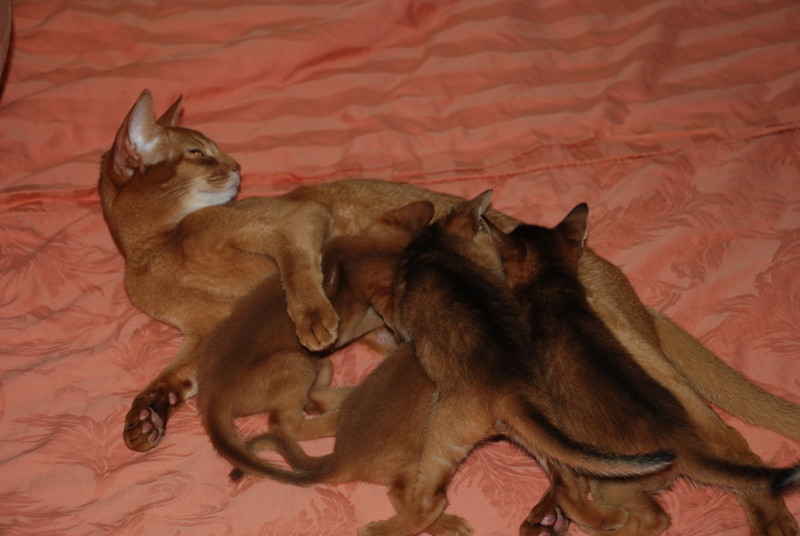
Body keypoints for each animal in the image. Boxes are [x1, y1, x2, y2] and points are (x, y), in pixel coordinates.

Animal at [197, 200, 435, 475]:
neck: (346, 260)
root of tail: (211, 399)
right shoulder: (349, 326)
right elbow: (376, 317)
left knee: (318, 381)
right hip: (295, 364)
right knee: (286, 425)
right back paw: (334, 417)